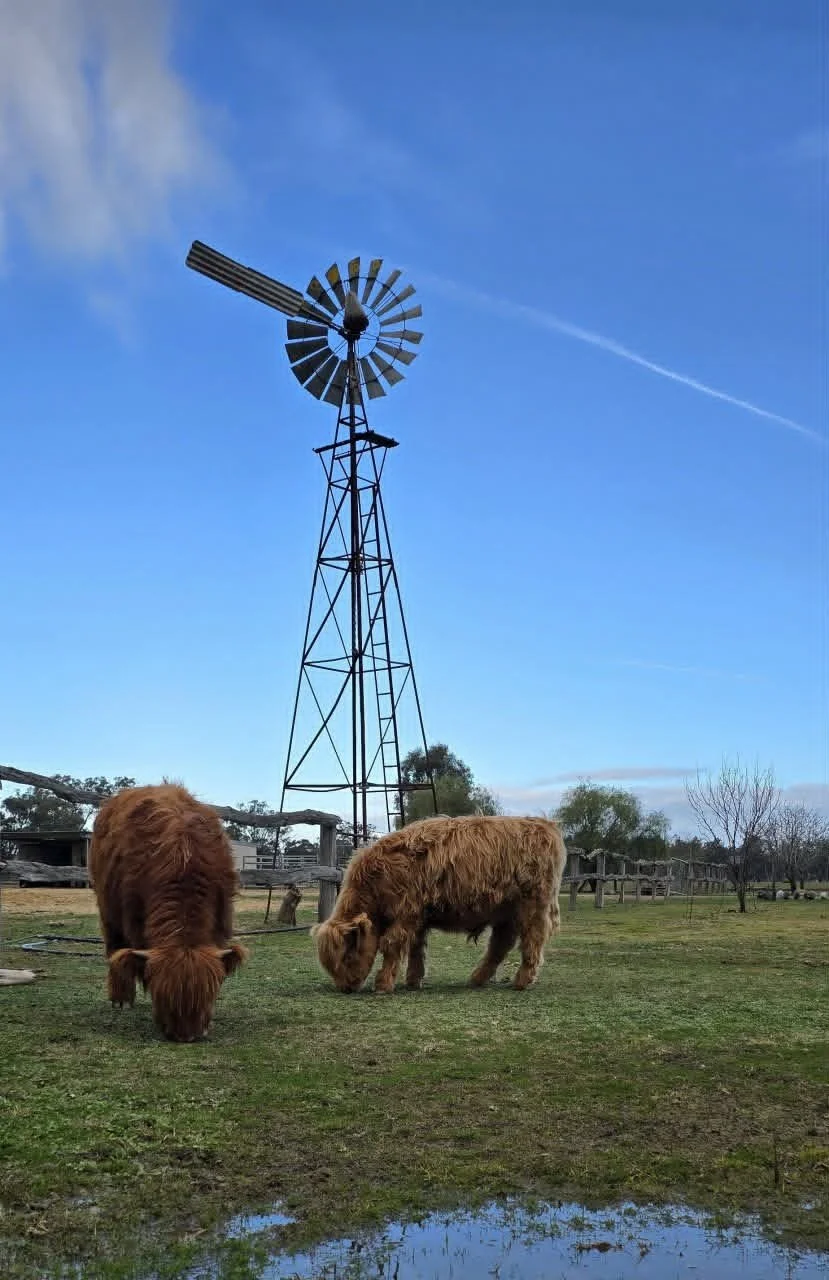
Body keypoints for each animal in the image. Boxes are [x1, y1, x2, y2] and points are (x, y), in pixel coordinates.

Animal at [89, 784, 247, 1042]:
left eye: (208, 994)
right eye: (162, 996)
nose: (186, 1036)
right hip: (107, 906)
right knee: (115, 949)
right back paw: (121, 999)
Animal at [312, 815, 566, 995]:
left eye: (346, 955)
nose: (346, 988)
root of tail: (545, 825)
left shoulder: (407, 913)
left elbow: (392, 944)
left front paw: (383, 985)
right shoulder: (418, 919)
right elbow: (416, 948)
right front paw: (412, 981)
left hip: (532, 906)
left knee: (531, 941)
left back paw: (521, 982)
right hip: (505, 912)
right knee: (500, 945)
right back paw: (476, 979)